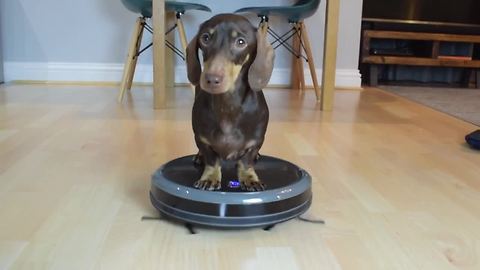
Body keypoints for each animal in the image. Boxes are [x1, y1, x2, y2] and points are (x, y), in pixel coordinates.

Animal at [186, 13, 274, 191]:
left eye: (240, 42)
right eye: (205, 38)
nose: (211, 79)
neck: (228, 104)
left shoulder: (256, 141)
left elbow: (246, 161)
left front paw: (249, 178)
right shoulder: (202, 138)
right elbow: (211, 159)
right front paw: (210, 177)